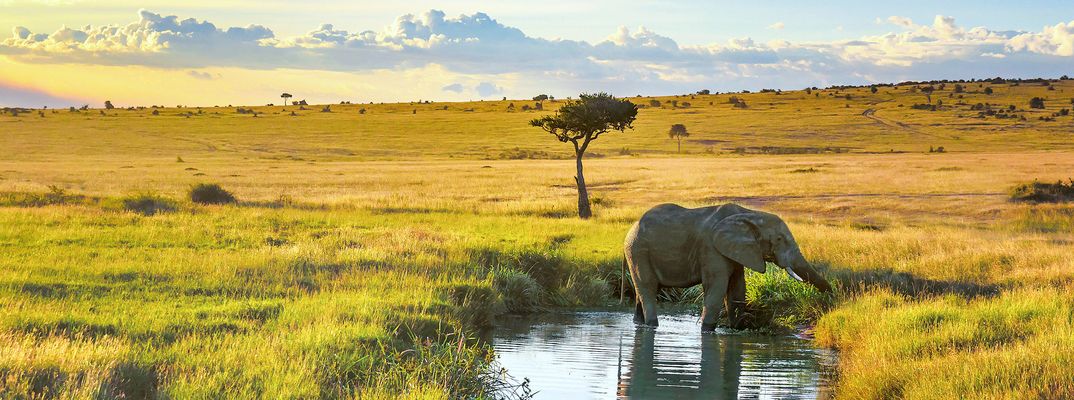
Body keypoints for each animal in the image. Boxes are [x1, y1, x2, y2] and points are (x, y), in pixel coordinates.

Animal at [622, 203, 829, 331]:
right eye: (778, 239)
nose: (830, 298)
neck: (749, 213)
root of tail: (631, 228)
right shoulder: (711, 248)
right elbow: (716, 288)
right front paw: (707, 330)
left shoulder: (738, 250)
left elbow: (737, 289)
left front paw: (737, 327)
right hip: (638, 251)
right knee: (648, 288)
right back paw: (652, 325)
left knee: (643, 292)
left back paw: (639, 324)